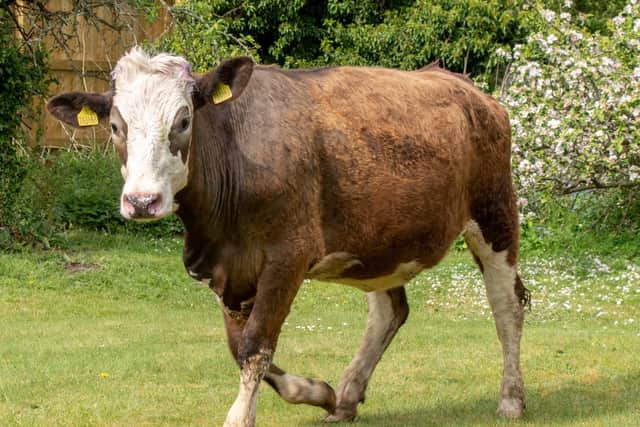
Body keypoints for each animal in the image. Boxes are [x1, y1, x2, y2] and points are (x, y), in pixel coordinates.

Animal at [47, 47, 529, 426]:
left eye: (183, 120)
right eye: (115, 127)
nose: (142, 200)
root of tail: (462, 83)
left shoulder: (287, 257)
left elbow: (256, 345)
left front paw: (240, 417)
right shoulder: (224, 269)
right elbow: (237, 346)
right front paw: (320, 393)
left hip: (495, 213)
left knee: (507, 305)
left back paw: (511, 400)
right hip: (378, 240)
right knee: (388, 311)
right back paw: (346, 398)